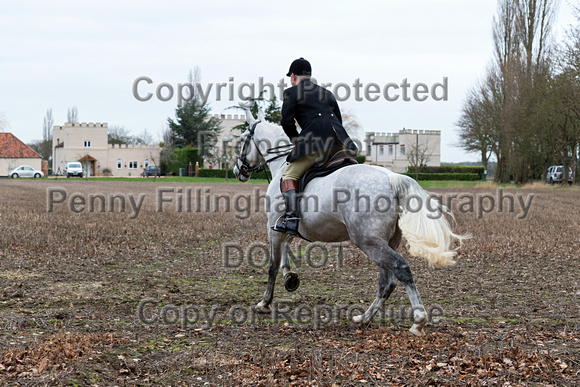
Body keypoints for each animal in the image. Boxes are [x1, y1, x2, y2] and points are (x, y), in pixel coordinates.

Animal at [233, 107, 464, 334]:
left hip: (369, 241)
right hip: (386, 242)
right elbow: (286, 249)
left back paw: (418, 322)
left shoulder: (273, 226)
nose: (238, 171)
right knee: (387, 282)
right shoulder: (290, 226)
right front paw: (289, 277)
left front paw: (264, 303)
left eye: (243, 139)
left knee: (401, 269)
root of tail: (392, 178)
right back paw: (363, 318)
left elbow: (272, 264)